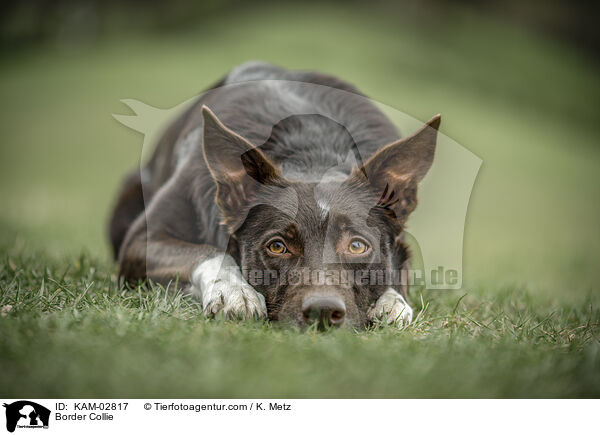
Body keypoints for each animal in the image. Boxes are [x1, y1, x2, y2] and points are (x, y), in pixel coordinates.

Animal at [110, 59, 438, 328]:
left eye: (357, 246)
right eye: (277, 247)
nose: (323, 311)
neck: (310, 152)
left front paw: (392, 302)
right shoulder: (141, 240)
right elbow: (211, 253)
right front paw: (234, 290)